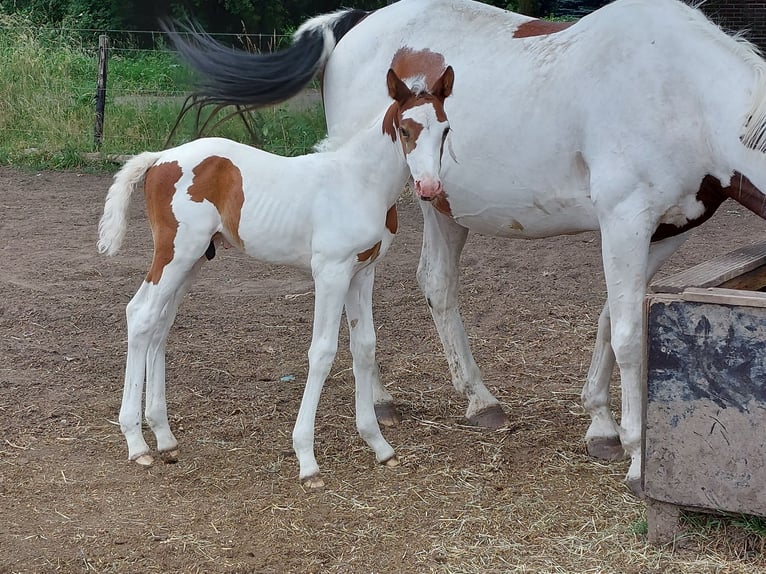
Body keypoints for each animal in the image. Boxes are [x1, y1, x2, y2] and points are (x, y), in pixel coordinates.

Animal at [98, 65, 452, 488]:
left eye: (445, 129)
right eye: (404, 129)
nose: (429, 187)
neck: (359, 182)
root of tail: (160, 158)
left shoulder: (362, 273)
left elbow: (364, 347)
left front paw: (378, 444)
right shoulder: (330, 272)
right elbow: (322, 352)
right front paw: (307, 459)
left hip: (193, 259)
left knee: (160, 326)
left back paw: (164, 436)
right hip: (175, 253)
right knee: (141, 315)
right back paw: (136, 443)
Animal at [166, 1, 766, 496]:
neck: (681, 88)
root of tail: (358, 21)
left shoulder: (668, 229)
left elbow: (607, 319)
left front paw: (601, 425)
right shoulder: (624, 221)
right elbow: (627, 337)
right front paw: (638, 461)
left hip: (440, 206)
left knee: (434, 284)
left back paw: (471, 401)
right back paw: (399, 403)